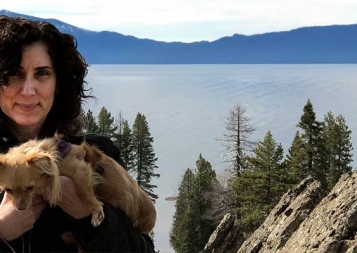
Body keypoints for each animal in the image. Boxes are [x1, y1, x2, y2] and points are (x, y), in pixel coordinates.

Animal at [0, 134, 157, 237]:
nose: (20, 208)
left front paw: (96, 211)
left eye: (30, 188)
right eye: (9, 190)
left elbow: (84, 192)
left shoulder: (80, 170)